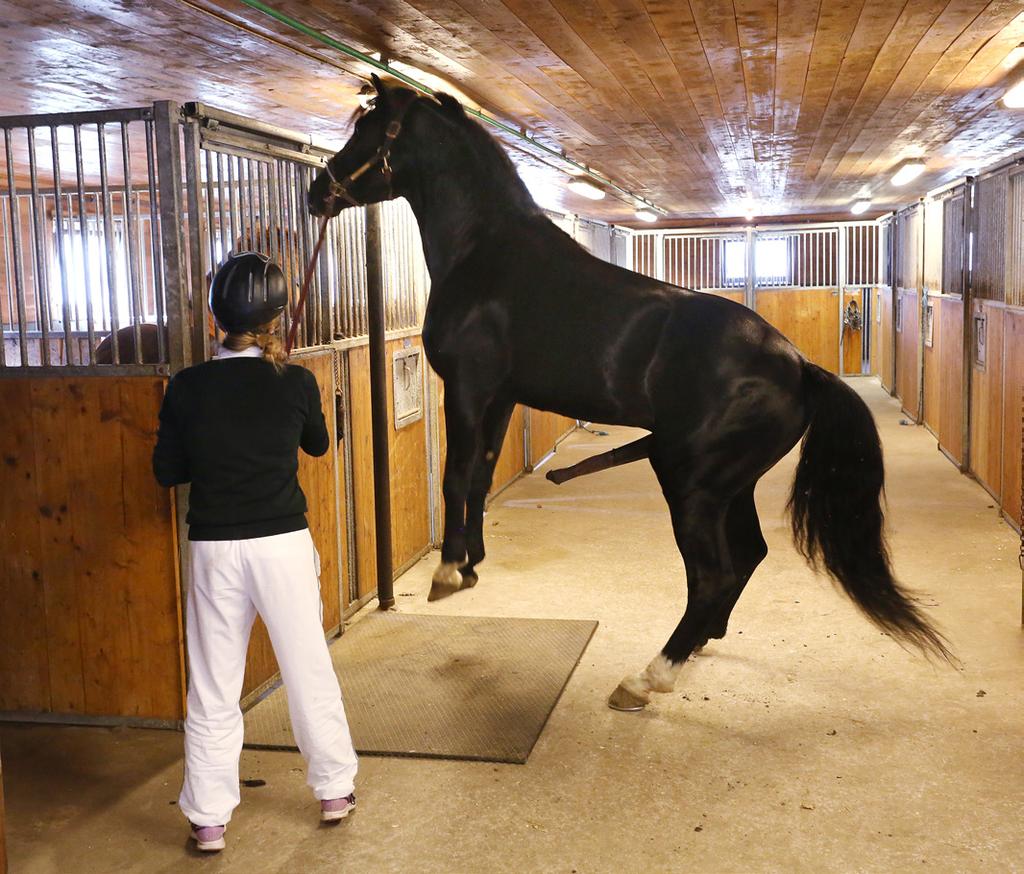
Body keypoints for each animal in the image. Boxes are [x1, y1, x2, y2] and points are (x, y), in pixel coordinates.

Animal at [305, 78, 950, 716]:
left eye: (367, 129)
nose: (317, 191)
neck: (485, 253)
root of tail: (798, 366)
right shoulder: (501, 397)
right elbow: (482, 473)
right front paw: (470, 564)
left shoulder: (466, 387)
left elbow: (455, 475)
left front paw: (445, 572)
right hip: (730, 485)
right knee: (749, 556)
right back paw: (700, 642)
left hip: (688, 481)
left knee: (714, 574)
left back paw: (648, 677)